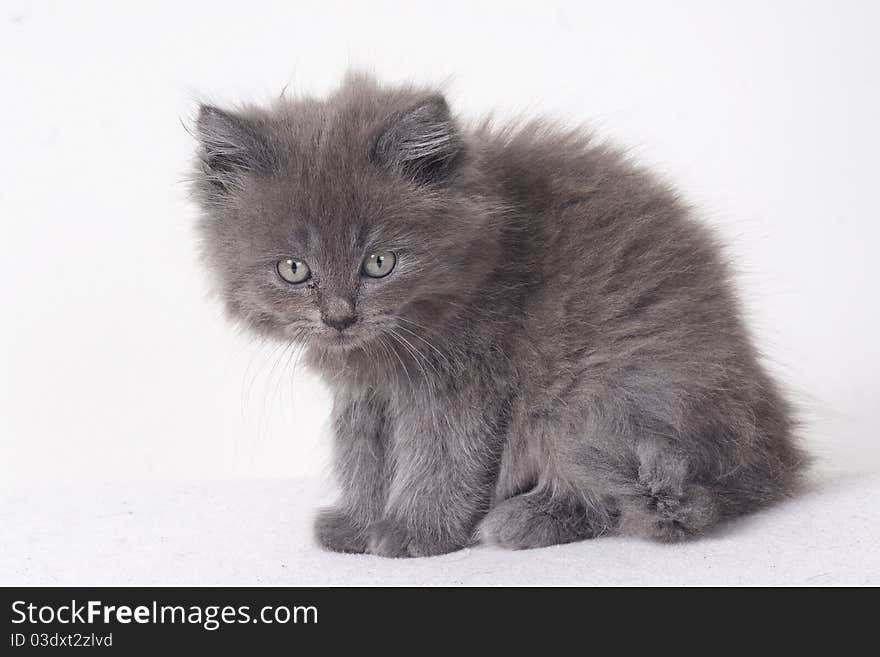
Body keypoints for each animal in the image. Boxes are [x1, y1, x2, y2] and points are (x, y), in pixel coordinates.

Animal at [191, 72, 804, 556]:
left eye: (380, 263)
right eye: (293, 270)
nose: (340, 317)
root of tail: (775, 452)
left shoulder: (465, 381)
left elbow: (440, 459)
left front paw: (414, 533)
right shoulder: (364, 394)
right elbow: (361, 457)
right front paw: (359, 525)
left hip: (599, 398)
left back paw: (522, 519)